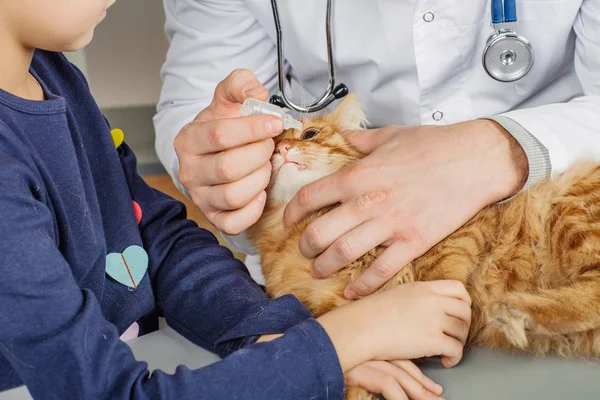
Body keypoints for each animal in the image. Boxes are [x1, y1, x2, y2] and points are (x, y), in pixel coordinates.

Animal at [246, 95, 600, 398]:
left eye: (309, 134)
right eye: (270, 145)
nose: (282, 149)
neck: (296, 229)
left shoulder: (463, 222)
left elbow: (440, 271)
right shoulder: (322, 304)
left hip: (571, 208)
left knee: (592, 294)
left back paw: (516, 312)